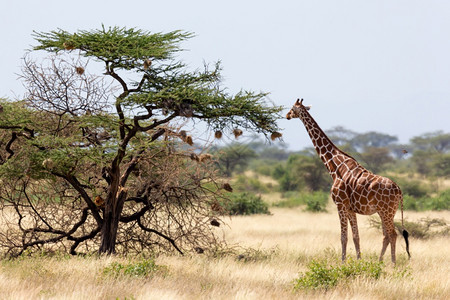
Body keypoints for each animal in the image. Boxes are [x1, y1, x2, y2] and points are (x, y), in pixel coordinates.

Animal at [286, 99, 410, 262]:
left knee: (392, 234)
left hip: (386, 211)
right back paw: (379, 262)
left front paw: (343, 262)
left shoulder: (340, 205)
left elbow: (343, 237)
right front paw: (358, 261)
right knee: (386, 235)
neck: (334, 166)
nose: (287, 115)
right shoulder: (351, 209)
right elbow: (356, 237)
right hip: (387, 211)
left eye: (292, 108)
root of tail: (399, 190)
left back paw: (392, 263)